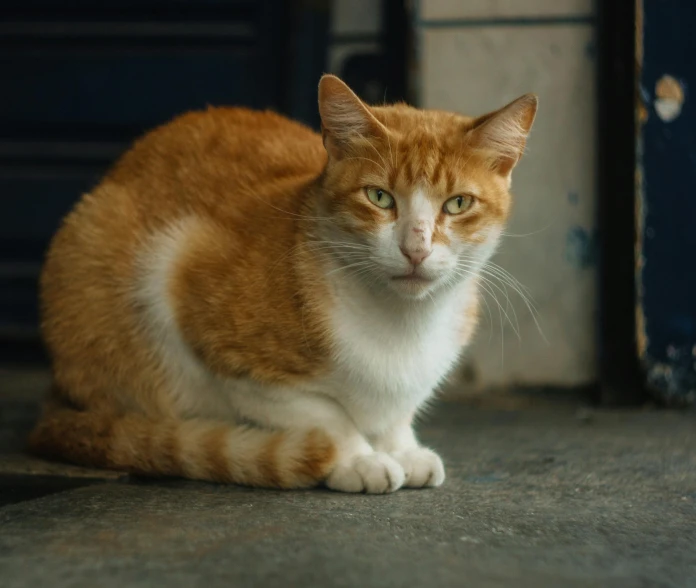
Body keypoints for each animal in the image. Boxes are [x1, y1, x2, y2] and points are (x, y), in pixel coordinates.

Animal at [27, 76, 540, 494]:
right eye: (379, 197)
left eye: (457, 204)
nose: (415, 248)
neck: (402, 324)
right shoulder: (203, 317)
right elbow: (326, 416)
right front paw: (358, 458)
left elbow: (398, 413)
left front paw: (400, 446)